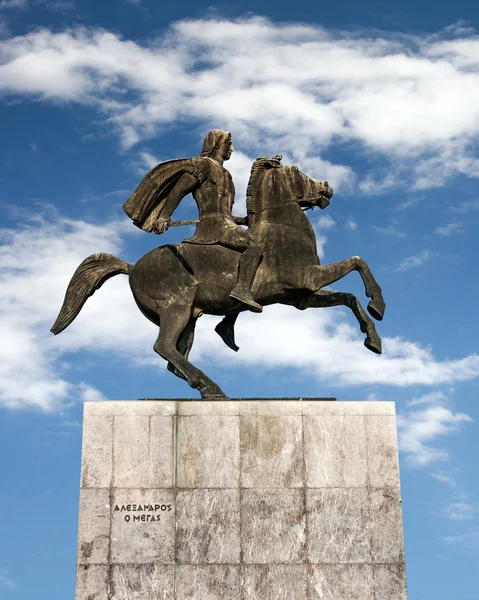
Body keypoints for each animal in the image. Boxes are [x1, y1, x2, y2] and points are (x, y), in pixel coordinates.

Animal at [50, 156, 384, 398]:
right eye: (298, 171)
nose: (327, 188)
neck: (283, 227)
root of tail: (132, 266)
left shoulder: (300, 296)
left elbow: (349, 298)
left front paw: (373, 339)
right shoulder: (309, 278)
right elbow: (358, 263)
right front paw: (378, 304)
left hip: (189, 316)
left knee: (174, 358)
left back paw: (210, 373)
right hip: (176, 308)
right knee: (163, 347)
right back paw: (213, 387)